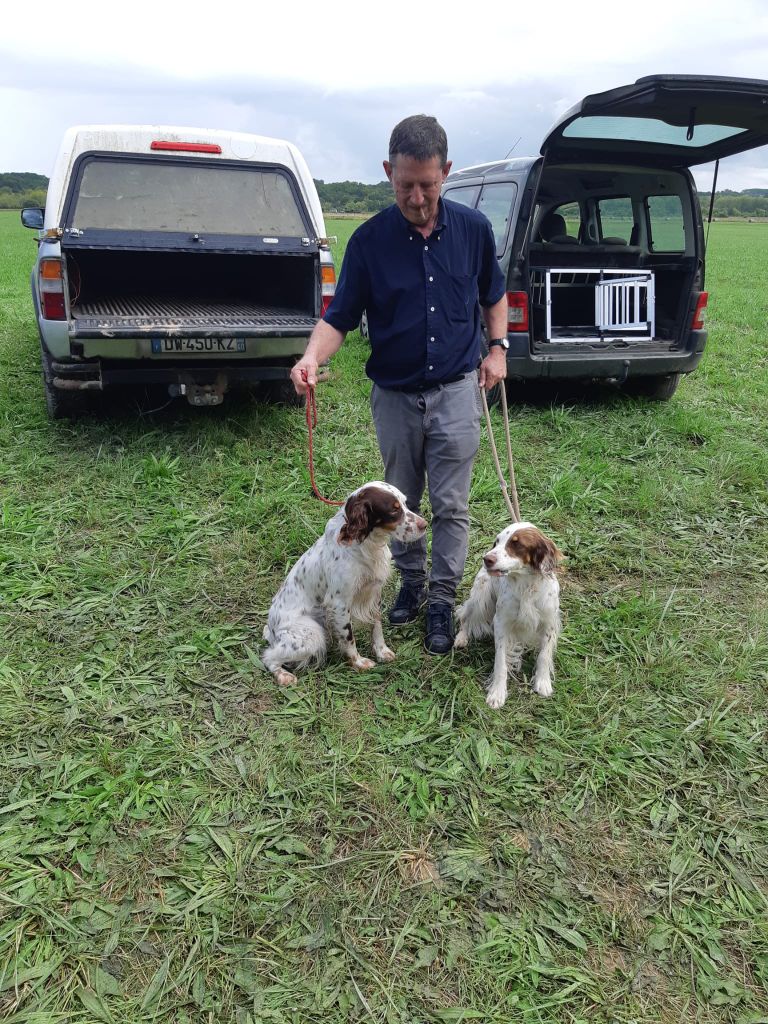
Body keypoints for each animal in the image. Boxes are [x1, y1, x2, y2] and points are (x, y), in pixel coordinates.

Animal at [264, 481, 428, 688]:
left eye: (405, 504)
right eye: (394, 510)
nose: (425, 525)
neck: (365, 543)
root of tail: (271, 630)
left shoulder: (373, 593)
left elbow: (376, 626)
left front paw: (382, 651)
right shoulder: (340, 603)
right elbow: (349, 637)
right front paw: (358, 662)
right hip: (312, 634)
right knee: (268, 657)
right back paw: (283, 675)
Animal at [454, 524, 561, 708]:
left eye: (516, 544)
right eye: (497, 542)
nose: (486, 559)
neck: (526, 585)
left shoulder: (549, 621)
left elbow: (544, 655)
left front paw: (543, 682)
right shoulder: (501, 623)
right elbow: (500, 662)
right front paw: (497, 692)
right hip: (480, 598)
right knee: (464, 616)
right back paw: (461, 637)